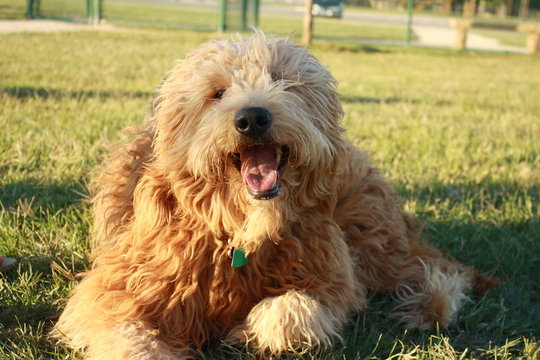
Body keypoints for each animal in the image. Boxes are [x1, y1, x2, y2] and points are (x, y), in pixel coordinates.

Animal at [56, 31, 494, 360]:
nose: (252, 118)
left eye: (284, 81)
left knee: (439, 273)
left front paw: (250, 329)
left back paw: (428, 307)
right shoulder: (117, 288)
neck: (238, 230)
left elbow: (295, 310)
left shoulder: (330, 277)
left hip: (373, 240)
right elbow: (122, 330)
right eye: (217, 92)